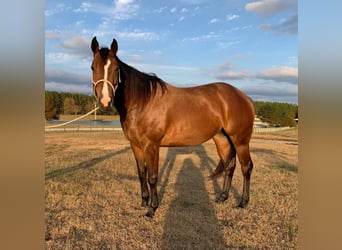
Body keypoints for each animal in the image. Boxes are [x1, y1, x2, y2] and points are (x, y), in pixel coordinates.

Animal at [90, 36, 254, 218]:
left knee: (246, 167)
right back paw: (222, 197)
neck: (142, 101)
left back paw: (243, 202)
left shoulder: (151, 146)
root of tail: (244, 97)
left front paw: (152, 209)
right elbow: (142, 174)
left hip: (240, 141)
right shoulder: (135, 146)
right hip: (222, 139)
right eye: (93, 67)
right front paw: (143, 203)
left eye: (116, 69)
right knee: (229, 165)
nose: (105, 101)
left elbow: (153, 176)